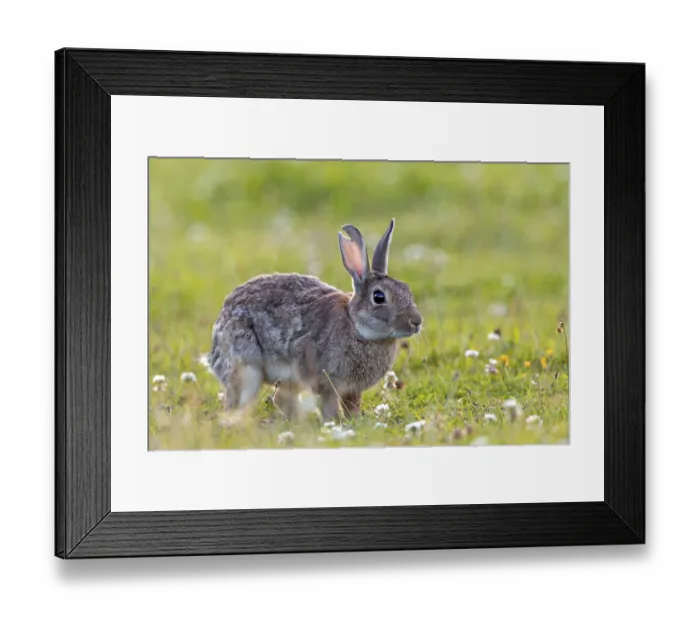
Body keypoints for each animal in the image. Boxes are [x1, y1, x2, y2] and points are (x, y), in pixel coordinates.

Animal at [202, 218, 423, 422]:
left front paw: (354, 421)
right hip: (247, 370)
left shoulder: (352, 390)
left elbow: (351, 406)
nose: (417, 321)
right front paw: (332, 422)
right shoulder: (325, 383)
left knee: (281, 399)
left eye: (406, 289)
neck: (357, 328)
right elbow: (329, 406)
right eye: (379, 297)